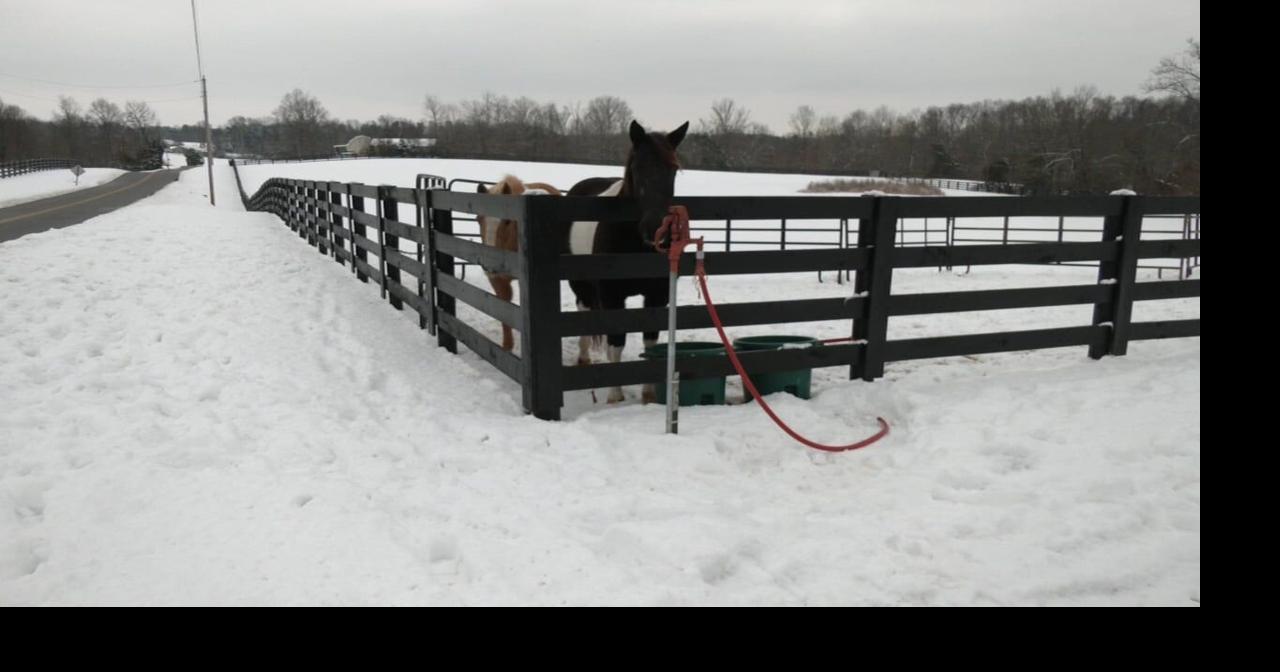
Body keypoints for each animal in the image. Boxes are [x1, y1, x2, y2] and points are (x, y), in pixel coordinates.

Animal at [476, 175, 563, 351]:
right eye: (478, 219)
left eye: (508, 221)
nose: (489, 265)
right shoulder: (497, 280)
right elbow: (504, 310)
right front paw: (507, 347)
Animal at [563, 119, 689, 404]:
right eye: (638, 168)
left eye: (674, 170)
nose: (657, 230)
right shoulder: (612, 295)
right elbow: (616, 342)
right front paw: (615, 395)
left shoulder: (656, 297)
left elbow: (650, 342)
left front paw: (649, 394)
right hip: (581, 284)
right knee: (583, 311)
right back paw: (584, 358)